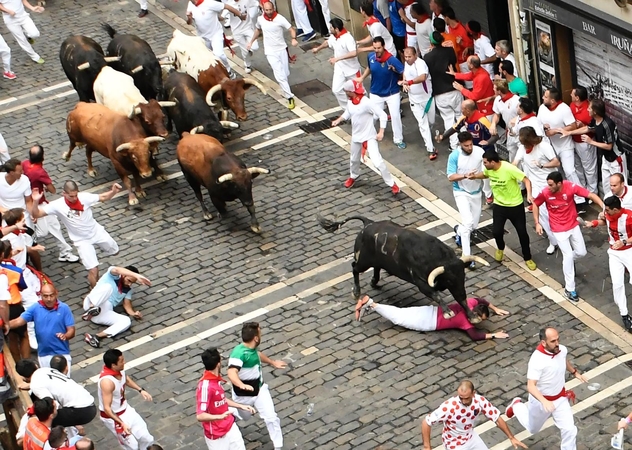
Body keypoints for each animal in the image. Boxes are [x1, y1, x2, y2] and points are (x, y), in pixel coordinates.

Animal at [318, 214, 492, 324]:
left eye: (463, 276)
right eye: (449, 279)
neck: (434, 255)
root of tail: (368, 223)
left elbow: (461, 300)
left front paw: (472, 316)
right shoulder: (421, 282)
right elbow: (436, 295)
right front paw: (448, 312)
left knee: (376, 267)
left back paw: (374, 282)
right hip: (363, 262)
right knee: (354, 268)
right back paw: (356, 291)